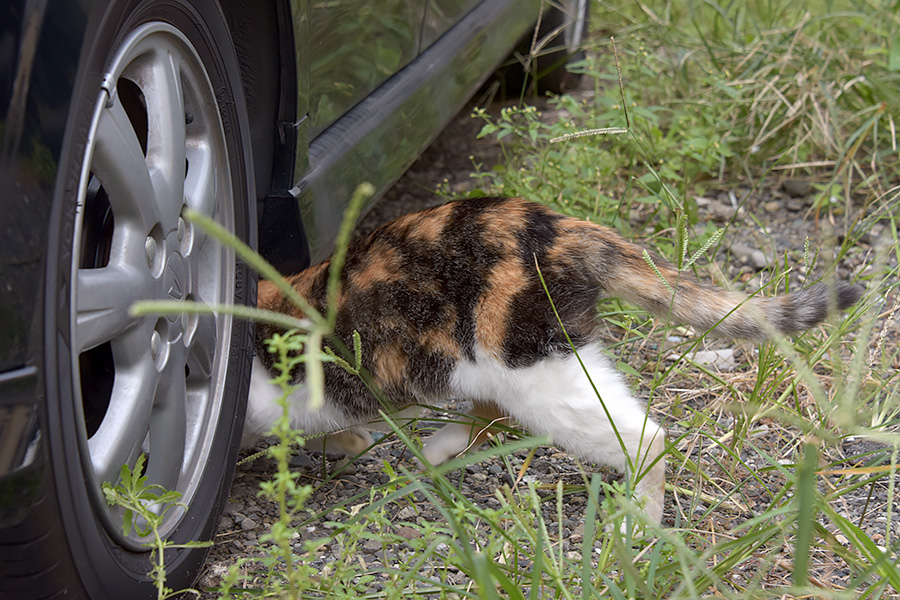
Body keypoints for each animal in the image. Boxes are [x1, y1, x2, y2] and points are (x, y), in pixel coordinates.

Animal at [243, 198, 860, 524]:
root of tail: (562, 226)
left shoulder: (266, 403)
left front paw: (336, 445)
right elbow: (341, 428)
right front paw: (351, 442)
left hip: (537, 374)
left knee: (646, 437)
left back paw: (639, 523)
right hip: (506, 367)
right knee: (488, 413)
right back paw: (437, 450)